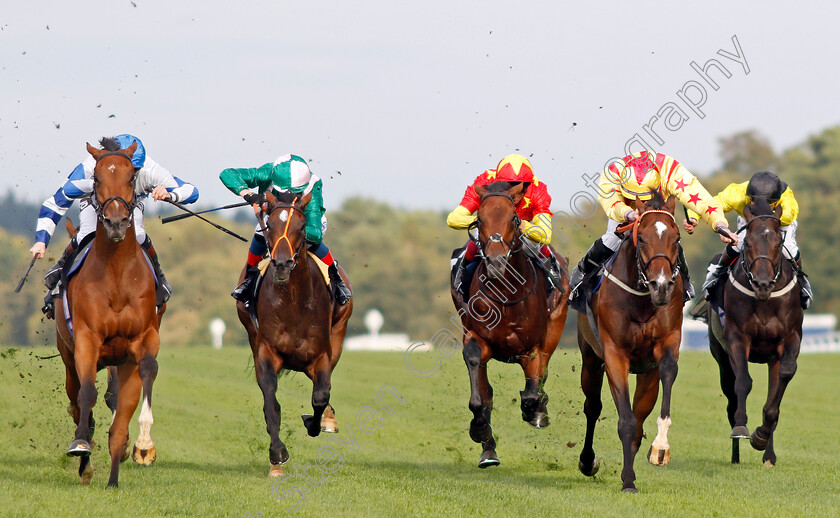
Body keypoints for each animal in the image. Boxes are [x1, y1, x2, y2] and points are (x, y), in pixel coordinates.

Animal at [54, 138, 164, 488]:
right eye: (97, 178)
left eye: (131, 178)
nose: (116, 223)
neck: (116, 271)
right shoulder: (87, 339)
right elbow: (87, 393)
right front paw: (81, 445)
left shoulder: (143, 338)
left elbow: (148, 369)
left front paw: (143, 445)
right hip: (68, 358)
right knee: (78, 399)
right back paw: (85, 461)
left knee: (117, 413)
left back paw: (115, 472)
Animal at [238, 191, 352, 480]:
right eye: (269, 225)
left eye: (301, 227)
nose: (281, 263)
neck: (292, 302)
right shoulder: (266, 351)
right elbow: (271, 401)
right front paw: (277, 455)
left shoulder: (321, 354)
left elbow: (321, 395)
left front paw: (315, 422)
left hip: (339, 334)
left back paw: (327, 419)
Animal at [452, 182, 572, 472]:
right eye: (479, 219)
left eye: (514, 219)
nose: (496, 262)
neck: (506, 294)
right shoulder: (476, 338)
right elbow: (480, 394)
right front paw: (479, 429)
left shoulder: (532, 349)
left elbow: (531, 392)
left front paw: (535, 410)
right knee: (487, 390)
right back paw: (488, 451)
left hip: (554, 328)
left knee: (541, 376)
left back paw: (539, 411)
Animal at [576, 193, 684, 494]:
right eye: (642, 238)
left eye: (676, 238)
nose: (662, 286)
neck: (642, 299)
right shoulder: (614, 354)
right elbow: (624, 420)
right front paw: (627, 482)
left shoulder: (666, 345)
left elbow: (668, 372)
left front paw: (660, 448)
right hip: (590, 357)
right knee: (593, 406)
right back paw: (587, 462)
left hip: (646, 374)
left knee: (638, 417)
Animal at [708, 199, 808, 468]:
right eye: (748, 243)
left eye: (778, 243)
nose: (763, 284)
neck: (764, 300)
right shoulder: (737, 338)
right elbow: (744, 381)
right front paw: (742, 428)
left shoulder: (790, 338)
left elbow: (781, 383)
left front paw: (761, 437)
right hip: (722, 359)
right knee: (731, 398)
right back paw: (735, 455)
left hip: (772, 359)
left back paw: (768, 454)